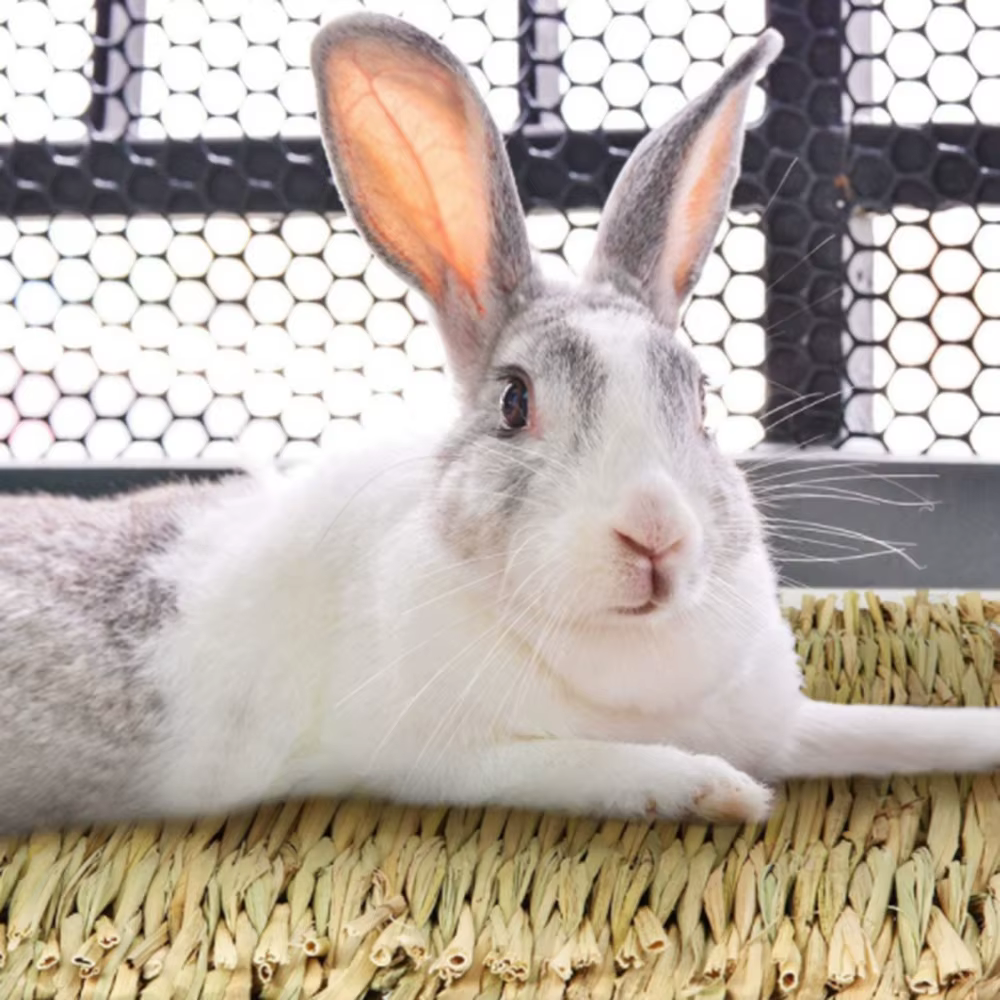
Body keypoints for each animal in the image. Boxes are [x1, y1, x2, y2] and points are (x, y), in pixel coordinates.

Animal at [1, 12, 998, 836]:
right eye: (516, 402)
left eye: (703, 399)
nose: (656, 536)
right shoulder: (450, 761)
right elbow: (589, 765)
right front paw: (713, 790)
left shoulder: (788, 721)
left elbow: (886, 731)